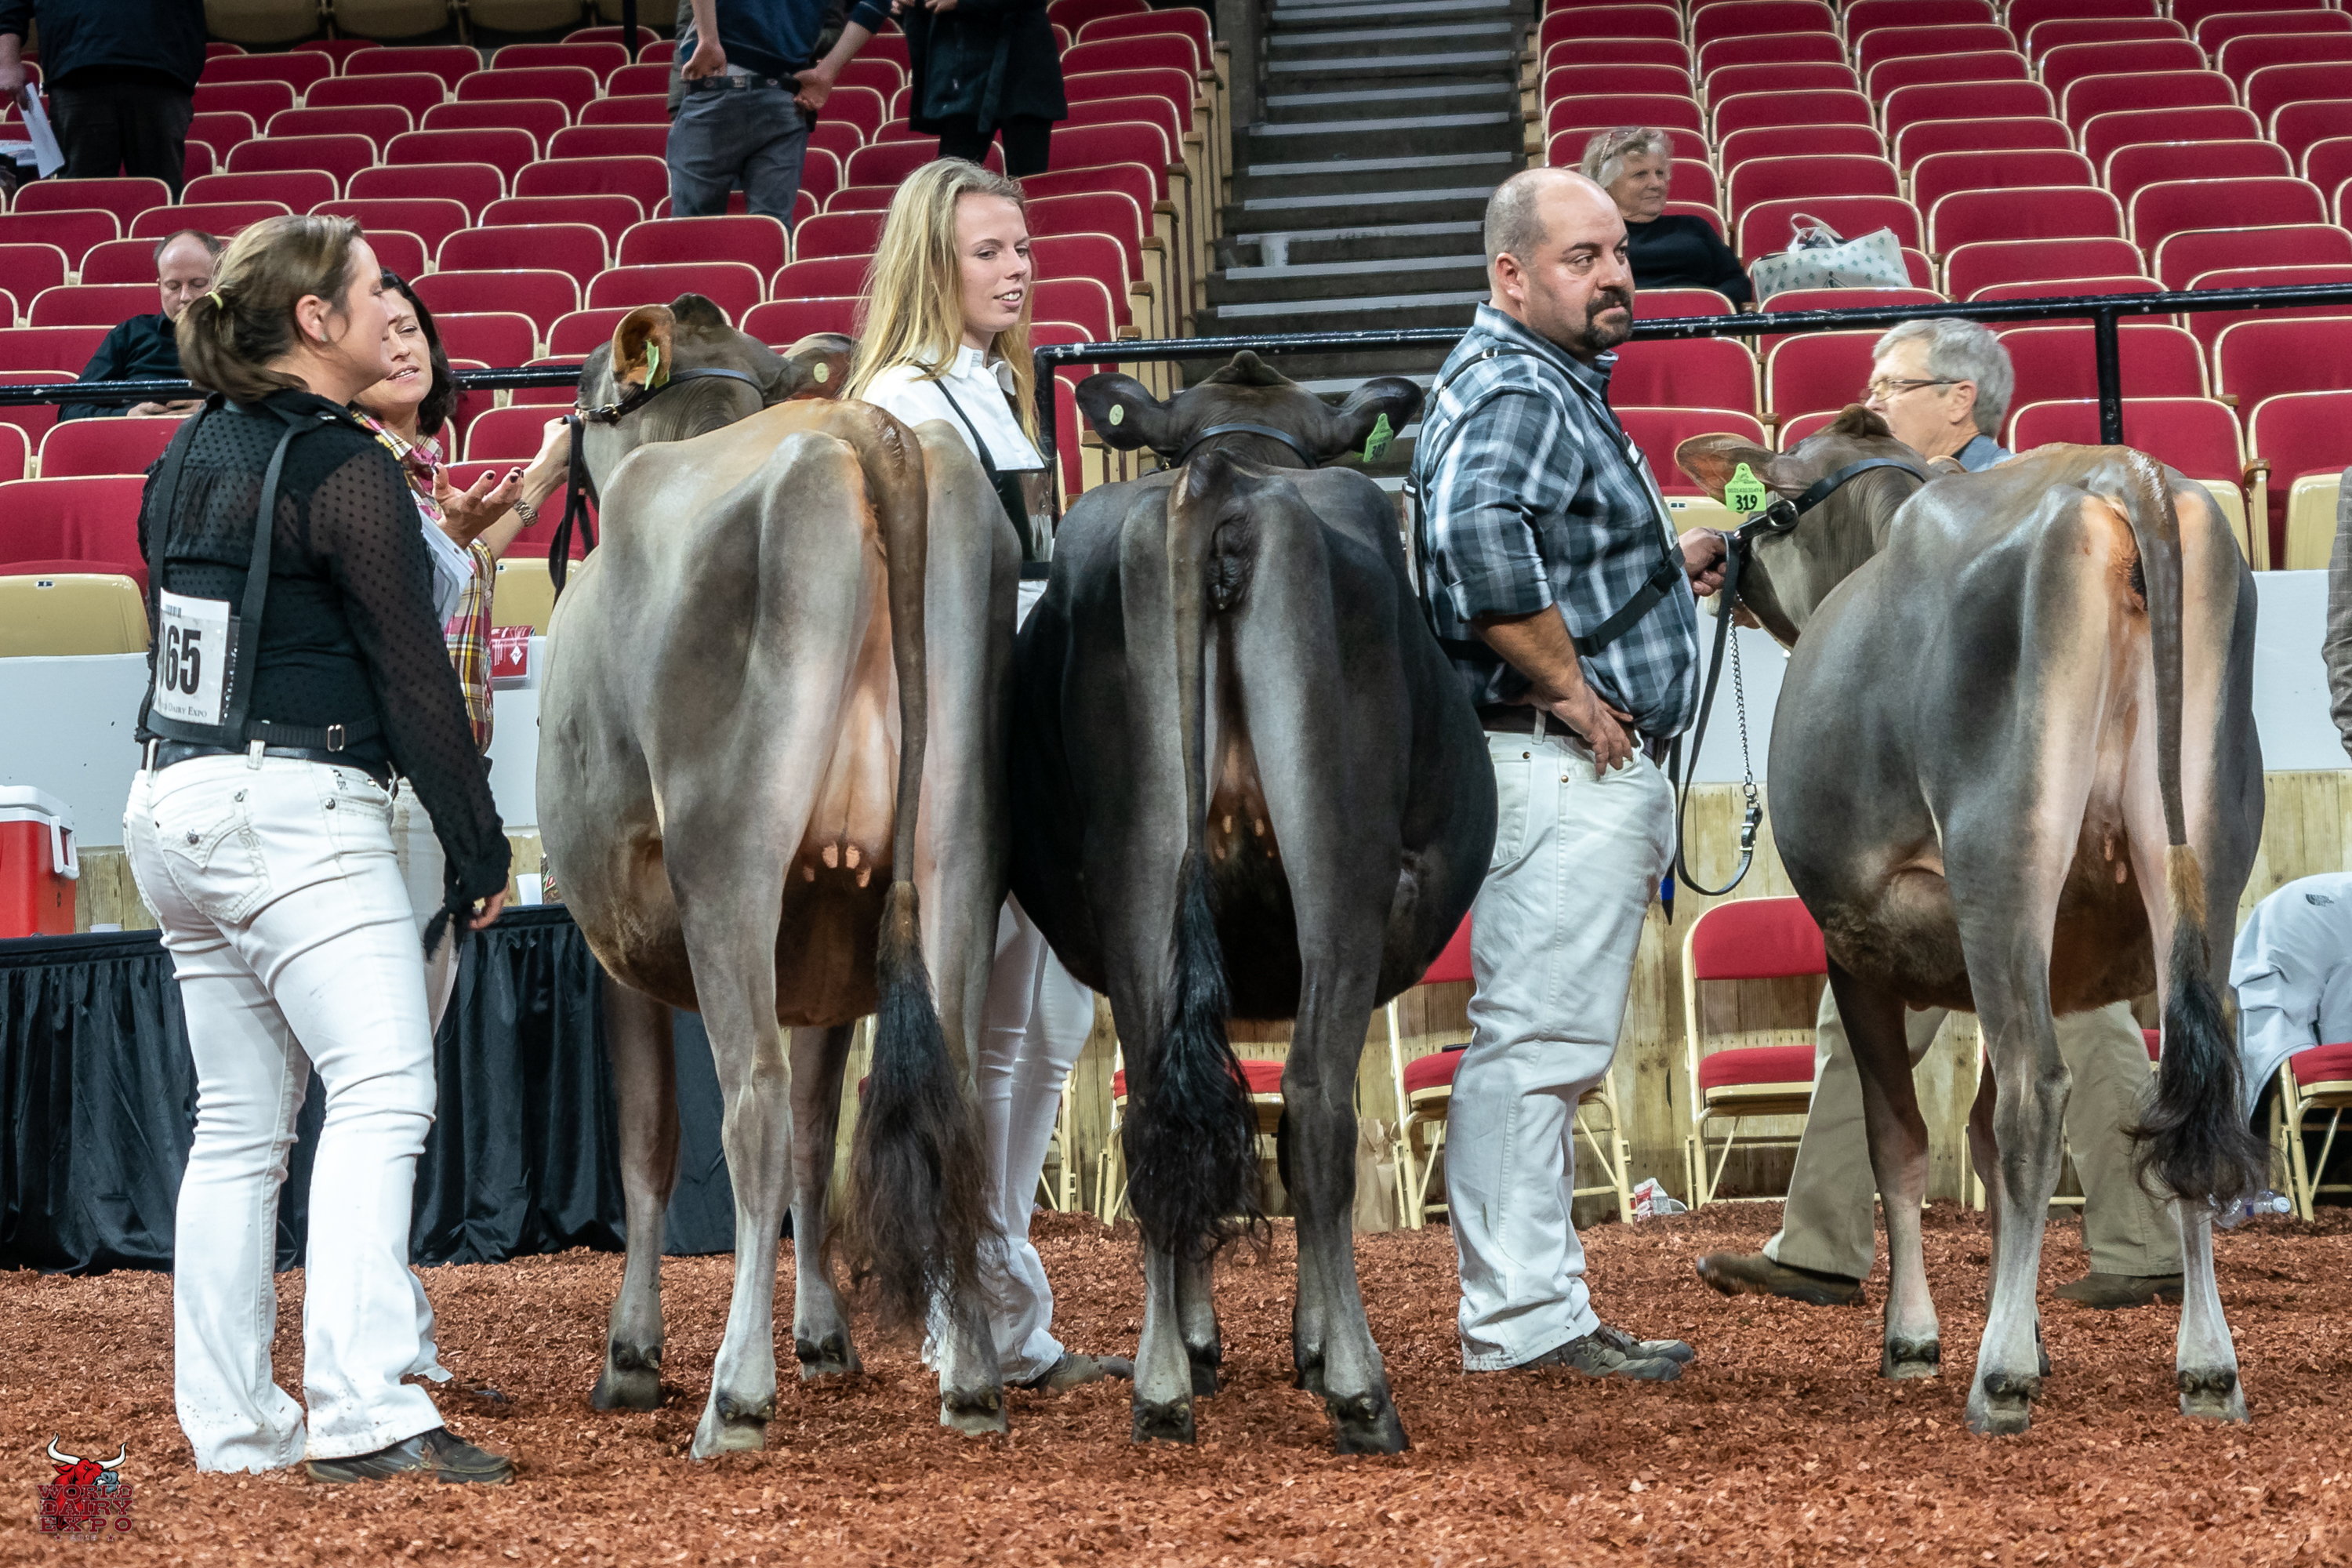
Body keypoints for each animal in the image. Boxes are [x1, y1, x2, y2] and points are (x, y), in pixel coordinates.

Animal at [537, 296, 1023, 1456]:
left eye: (581, 407)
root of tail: (864, 432)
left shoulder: (611, 946)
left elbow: (650, 1141)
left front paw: (632, 1355)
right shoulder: (831, 942)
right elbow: (816, 1133)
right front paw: (828, 1337)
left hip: (733, 859)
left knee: (746, 1106)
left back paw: (735, 1395)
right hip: (957, 850)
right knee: (950, 1103)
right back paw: (973, 1381)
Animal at [1013, 352, 1495, 1453]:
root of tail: (1221, 482)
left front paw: (1201, 1343)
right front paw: (1310, 1345)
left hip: (1139, 872)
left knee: (1162, 1113)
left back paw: (1159, 1387)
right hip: (1340, 868)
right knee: (1316, 1112)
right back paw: (1362, 1388)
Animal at [1675, 406, 2270, 1436]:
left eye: (1773, 508)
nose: (1716, 563)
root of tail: (2127, 476)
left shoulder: (1858, 945)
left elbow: (1904, 1140)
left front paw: (1919, 1339)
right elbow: (1984, 1145)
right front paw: (2023, 1322)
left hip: (2004, 862)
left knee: (2040, 1091)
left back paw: (1998, 1379)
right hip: (2202, 868)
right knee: (2190, 1095)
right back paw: (2206, 1367)